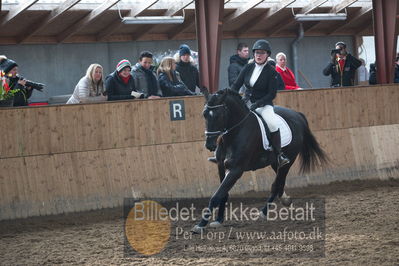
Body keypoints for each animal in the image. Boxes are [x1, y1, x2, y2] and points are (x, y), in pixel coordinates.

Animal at [193, 88, 328, 232]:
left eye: (219, 116)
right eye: (204, 115)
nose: (209, 145)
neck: (235, 132)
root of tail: (297, 114)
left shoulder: (236, 170)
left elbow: (217, 195)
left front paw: (200, 225)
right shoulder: (221, 166)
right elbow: (222, 193)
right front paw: (218, 220)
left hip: (289, 160)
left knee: (276, 185)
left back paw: (263, 213)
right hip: (276, 162)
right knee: (280, 182)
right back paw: (285, 200)